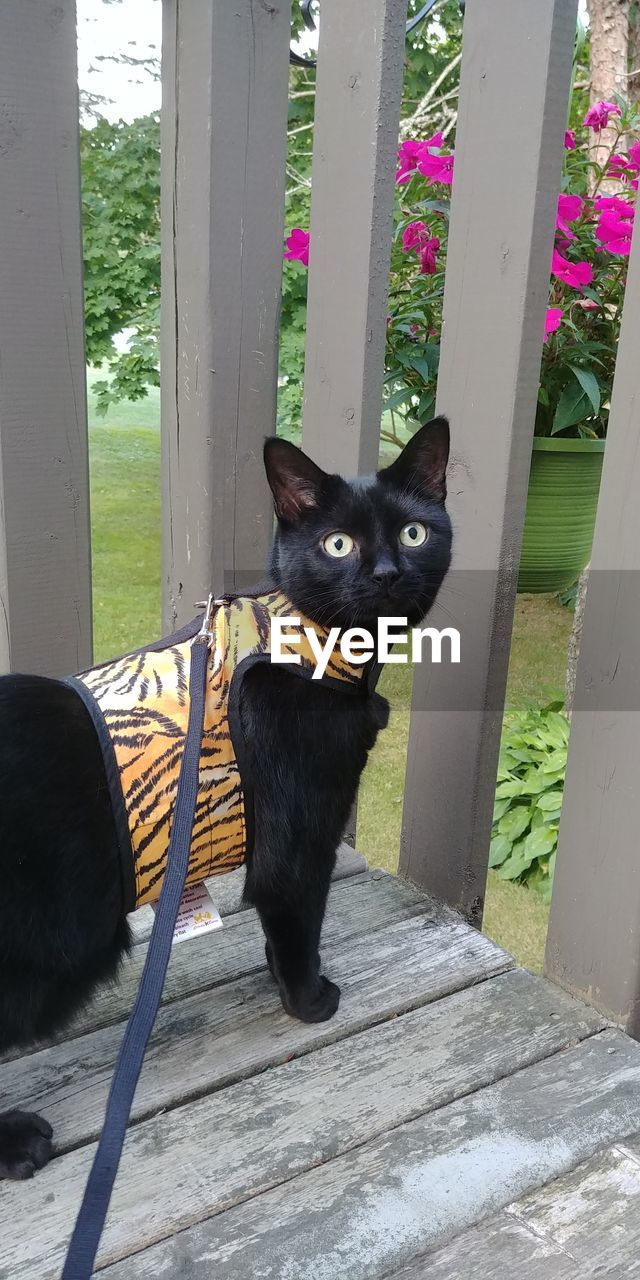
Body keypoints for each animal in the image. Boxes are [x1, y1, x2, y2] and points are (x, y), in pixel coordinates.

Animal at [0, 412, 450, 1177]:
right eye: (338, 544)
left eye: (415, 532)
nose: (388, 573)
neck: (308, 647)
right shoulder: (299, 841)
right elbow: (296, 914)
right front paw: (308, 999)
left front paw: (277, 972)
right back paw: (17, 1141)